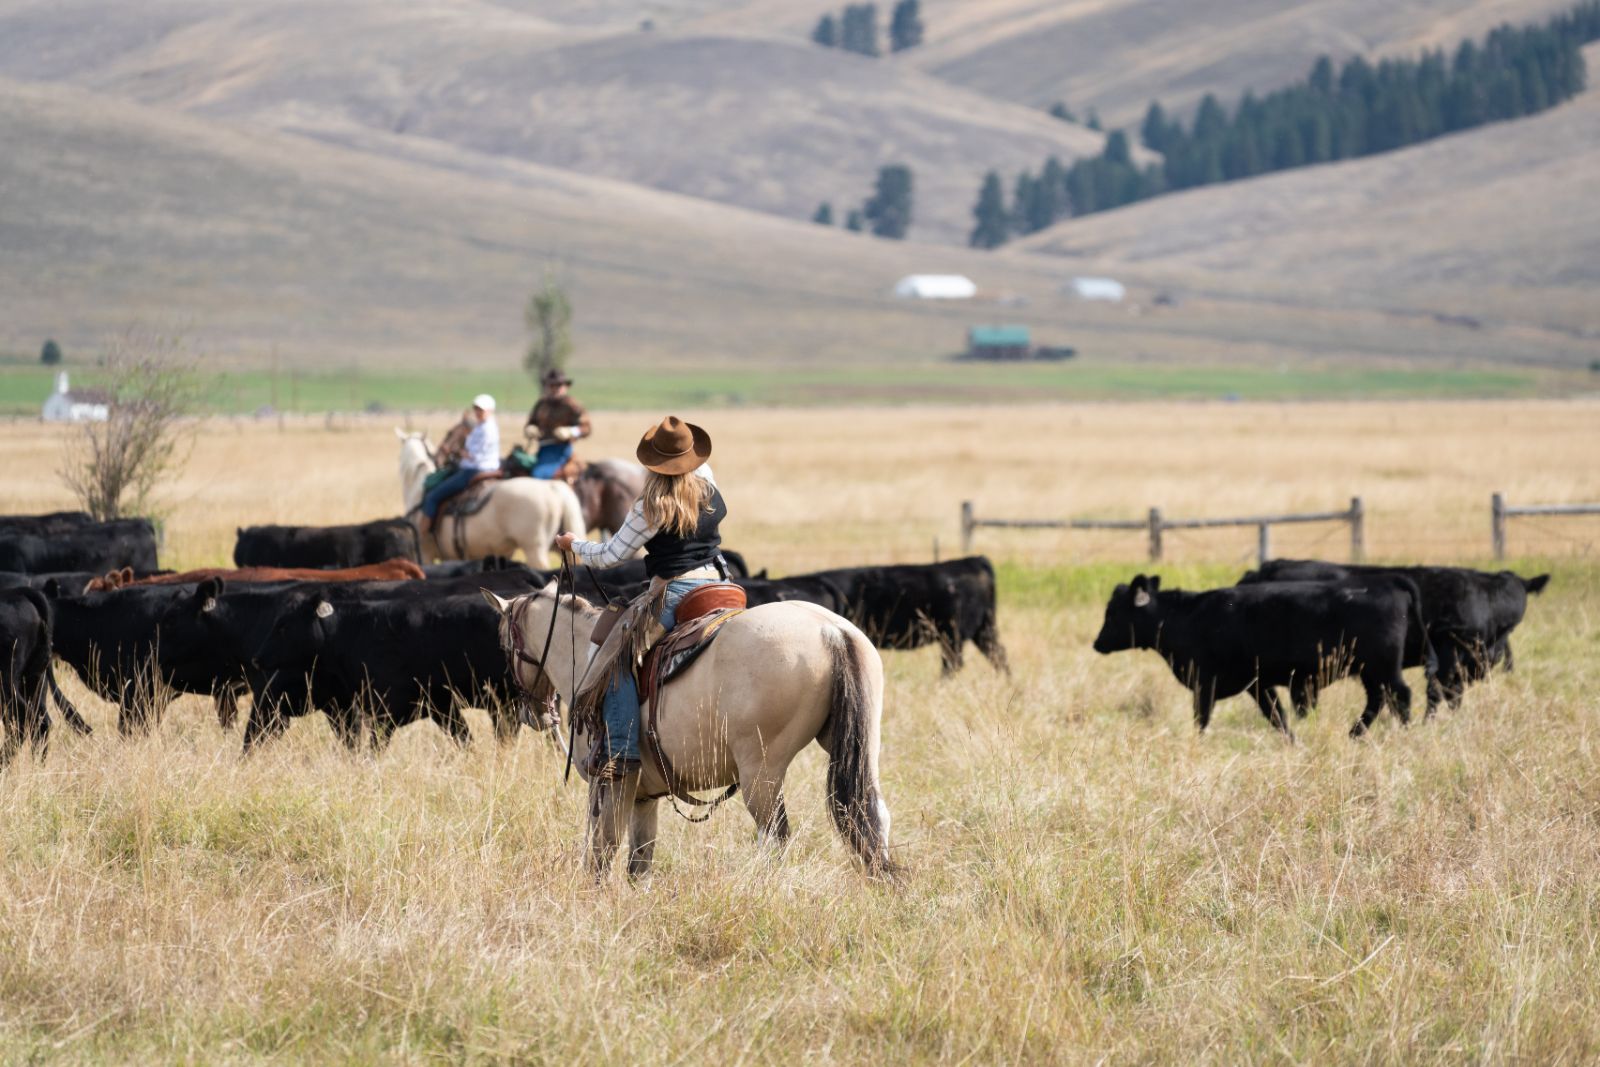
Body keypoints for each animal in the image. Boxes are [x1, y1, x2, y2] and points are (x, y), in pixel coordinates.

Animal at [1092, 574, 1429, 739]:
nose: (1097, 644)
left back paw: (1402, 731)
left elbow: (1201, 718)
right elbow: (1276, 715)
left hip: (1381, 667)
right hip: (1371, 670)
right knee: (1379, 699)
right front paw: (1291, 740)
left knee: (1399, 695)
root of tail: (1387, 582)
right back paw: (1355, 733)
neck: (1184, 616)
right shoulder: (1257, 683)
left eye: (1112, 613)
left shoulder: (1205, 681)